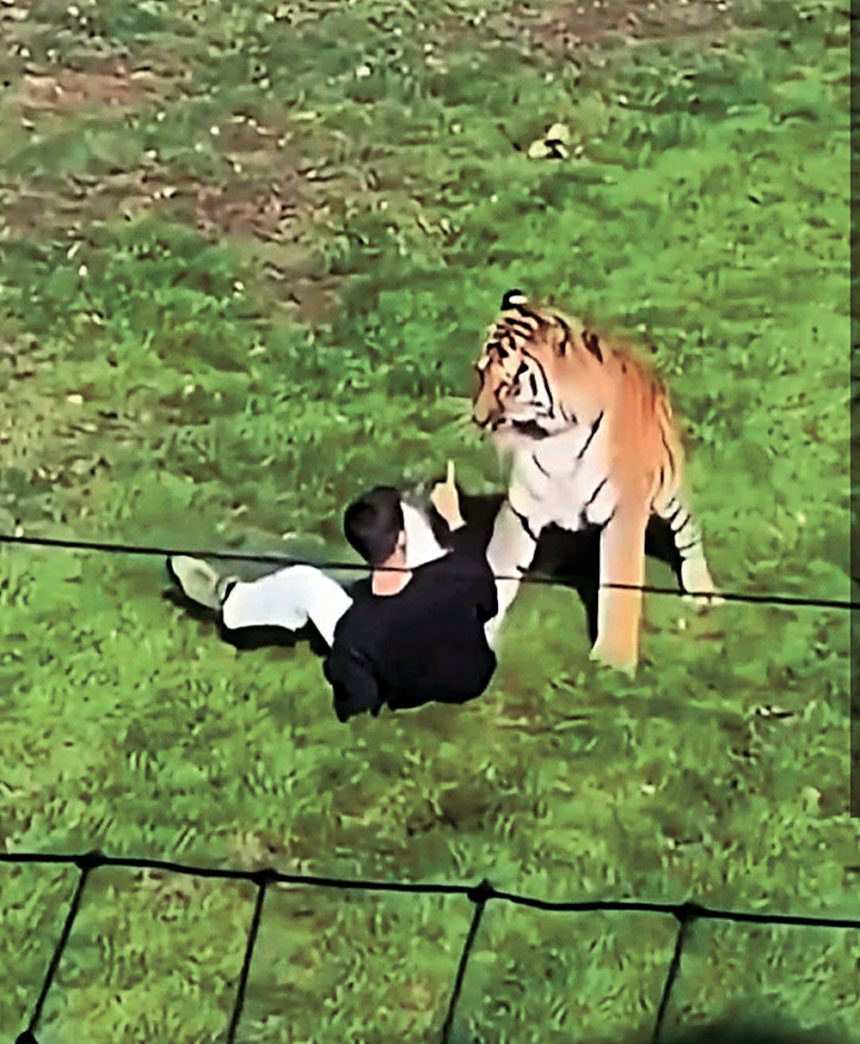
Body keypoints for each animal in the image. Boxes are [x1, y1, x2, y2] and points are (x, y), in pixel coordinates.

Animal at [471, 289, 721, 675]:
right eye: (481, 373)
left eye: (511, 384)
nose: (478, 418)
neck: (554, 437)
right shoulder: (522, 509)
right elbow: (499, 567)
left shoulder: (624, 513)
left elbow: (619, 584)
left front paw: (613, 662)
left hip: (669, 492)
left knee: (689, 533)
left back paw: (702, 590)